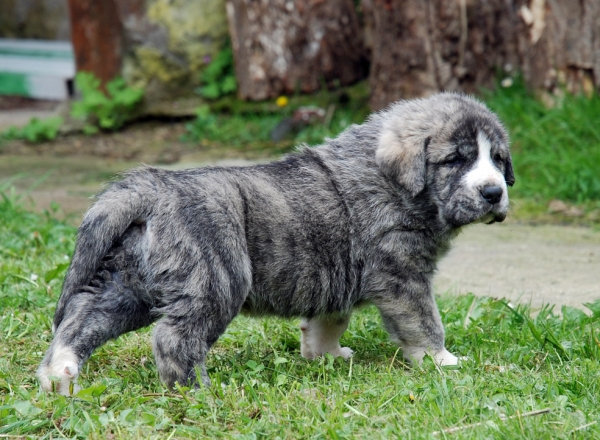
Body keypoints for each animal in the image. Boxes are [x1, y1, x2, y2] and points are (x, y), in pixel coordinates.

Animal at [38, 93, 516, 396]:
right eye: (455, 160)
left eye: (498, 159)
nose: (494, 192)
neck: (398, 182)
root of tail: (150, 189)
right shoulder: (403, 276)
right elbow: (424, 322)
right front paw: (443, 361)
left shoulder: (338, 273)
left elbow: (330, 319)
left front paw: (324, 354)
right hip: (216, 281)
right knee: (175, 338)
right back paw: (197, 391)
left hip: (129, 284)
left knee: (84, 318)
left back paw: (59, 374)